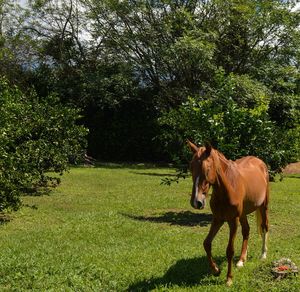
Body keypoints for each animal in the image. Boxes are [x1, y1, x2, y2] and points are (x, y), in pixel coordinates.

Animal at [188, 140, 270, 286]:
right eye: (191, 167)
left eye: (206, 169)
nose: (196, 202)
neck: (228, 187)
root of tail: (260, 162)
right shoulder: (218, 219)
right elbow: (206, 243)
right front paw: (216, 270)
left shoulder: (233, 221)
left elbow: (230, 250)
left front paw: (229, 279)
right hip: (243, 214)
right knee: (246, 231)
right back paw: (241, 260)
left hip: (263, 207)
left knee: (265, 227)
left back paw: (263, 255)